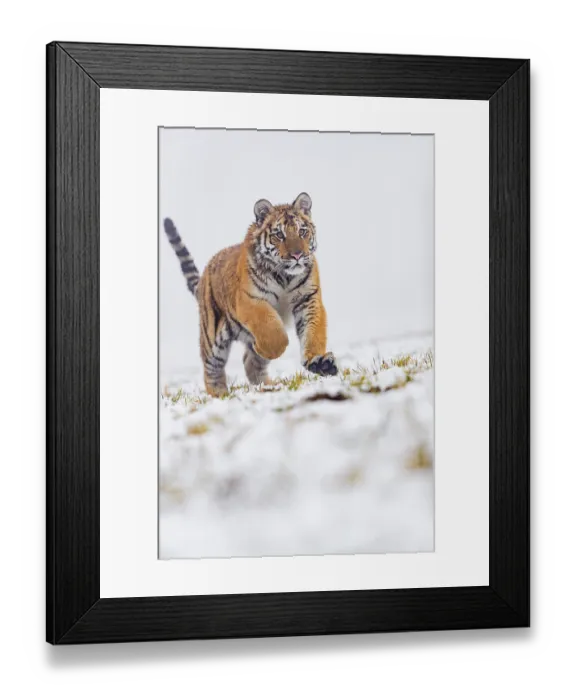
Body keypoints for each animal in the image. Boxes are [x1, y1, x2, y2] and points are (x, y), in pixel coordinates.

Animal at [163, 192, 338, 397]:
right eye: (279, 235)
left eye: (302, 231)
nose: (297, 255)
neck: (285, 276)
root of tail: (203, 277)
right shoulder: (250, 300)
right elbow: (273, 331)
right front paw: (267, 348)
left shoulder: (308, 299)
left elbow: (314, 331)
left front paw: (319, 361)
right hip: (212, 338)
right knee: (211, 370)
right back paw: (220, 394)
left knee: (250, 363)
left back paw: (271, 385)